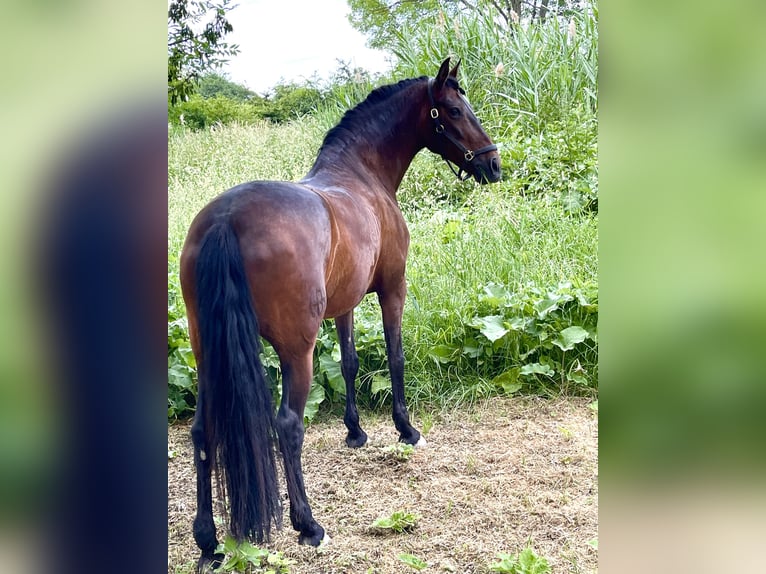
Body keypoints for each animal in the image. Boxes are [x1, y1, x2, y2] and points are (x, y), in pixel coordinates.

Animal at [180, 58, 504, 572]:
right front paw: (406, 430)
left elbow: (350, 362)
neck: (361, 176)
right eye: (453, 109)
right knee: (288, 426)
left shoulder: (346, 303)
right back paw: (308, 526)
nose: (494, 164)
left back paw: (208, 541)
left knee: (201, 432)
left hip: (205, 351)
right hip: (297, 351)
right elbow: (395, 357)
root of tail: (227, 218)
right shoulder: (392, 289)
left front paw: (355, 432)